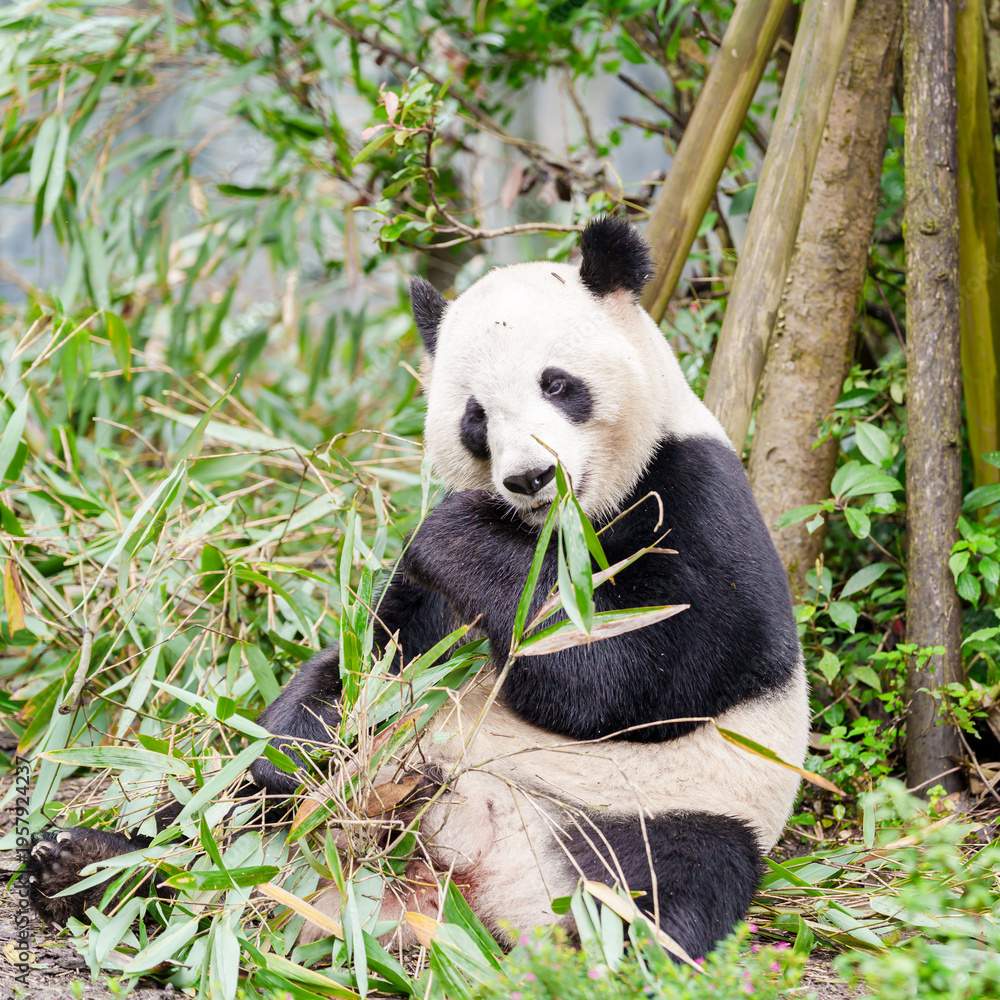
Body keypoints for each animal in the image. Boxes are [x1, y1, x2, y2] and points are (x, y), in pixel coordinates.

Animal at [27, 217, 808, 962]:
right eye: (475, 417)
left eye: (557, 384)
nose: (529, 477)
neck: (554, 530)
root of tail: (465, 879)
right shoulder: (426, 617)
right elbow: (368, 663)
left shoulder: (696, 496)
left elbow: (640, 670)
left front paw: (461, 537)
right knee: (223, 817)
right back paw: (83, 867)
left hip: (658, 812)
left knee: (668, 887)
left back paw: (582, 959)